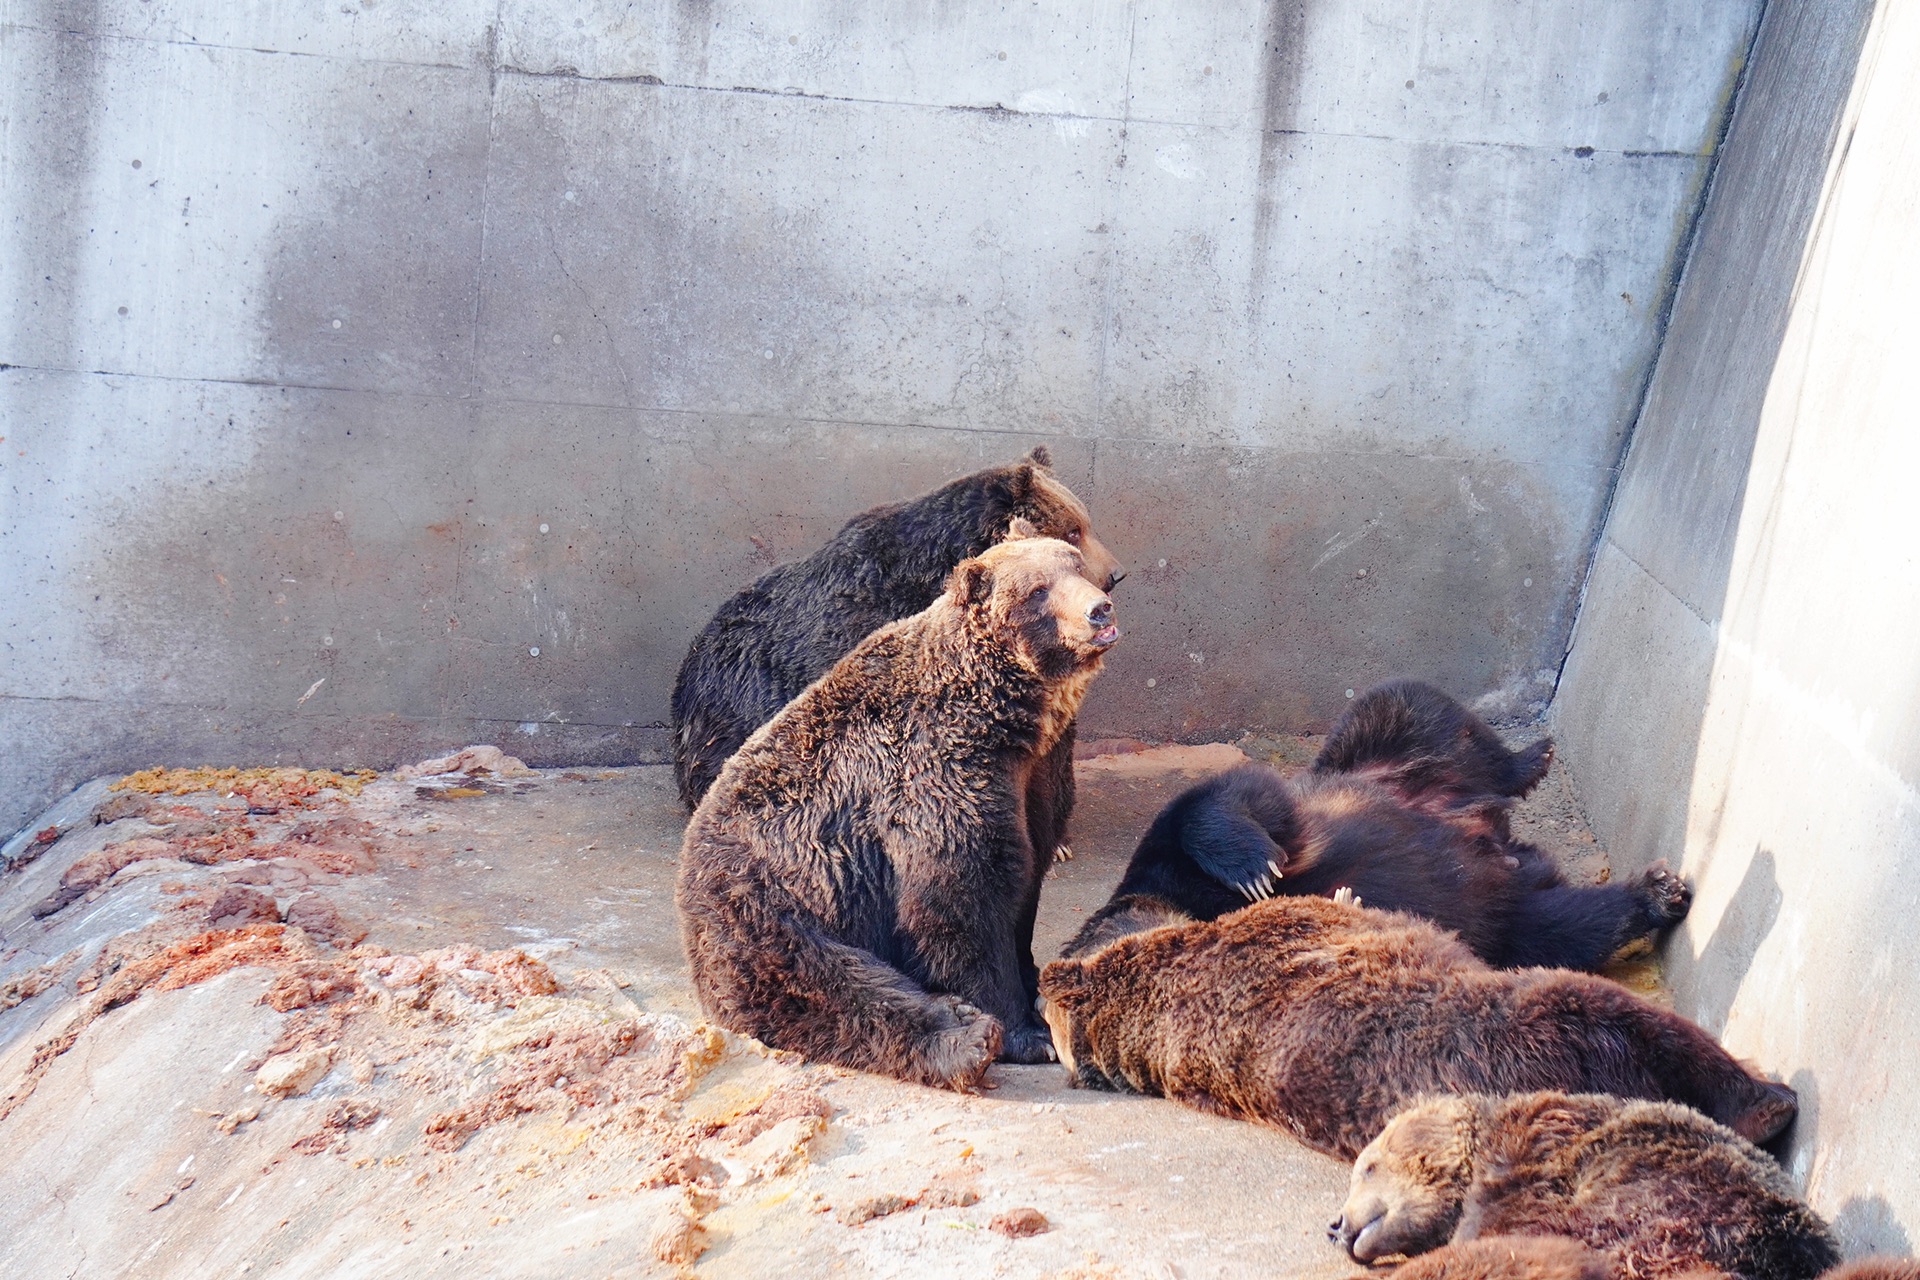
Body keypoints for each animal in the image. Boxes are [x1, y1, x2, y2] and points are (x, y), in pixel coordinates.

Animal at [679, 525, 1121, 1090]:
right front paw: (1028, 1032)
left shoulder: (1037, 780)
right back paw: (964, 1036)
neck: (1008, 723)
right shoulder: (934, 774)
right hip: (775, 902)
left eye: (1074, 564)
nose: (1099, 610)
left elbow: (1027, 874)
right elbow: (957, 899)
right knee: (833, 986)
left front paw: (1036, 988)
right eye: (1037, 590)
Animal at [1067, 679, 1697, 971]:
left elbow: (1223, 802)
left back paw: (1533, 756)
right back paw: (1654, 894)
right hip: (1501, 911)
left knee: (1413, 707)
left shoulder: (1173, 853)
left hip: (1369, 759)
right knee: (1564, 925)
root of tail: (1489, 827)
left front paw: (1254, 866)